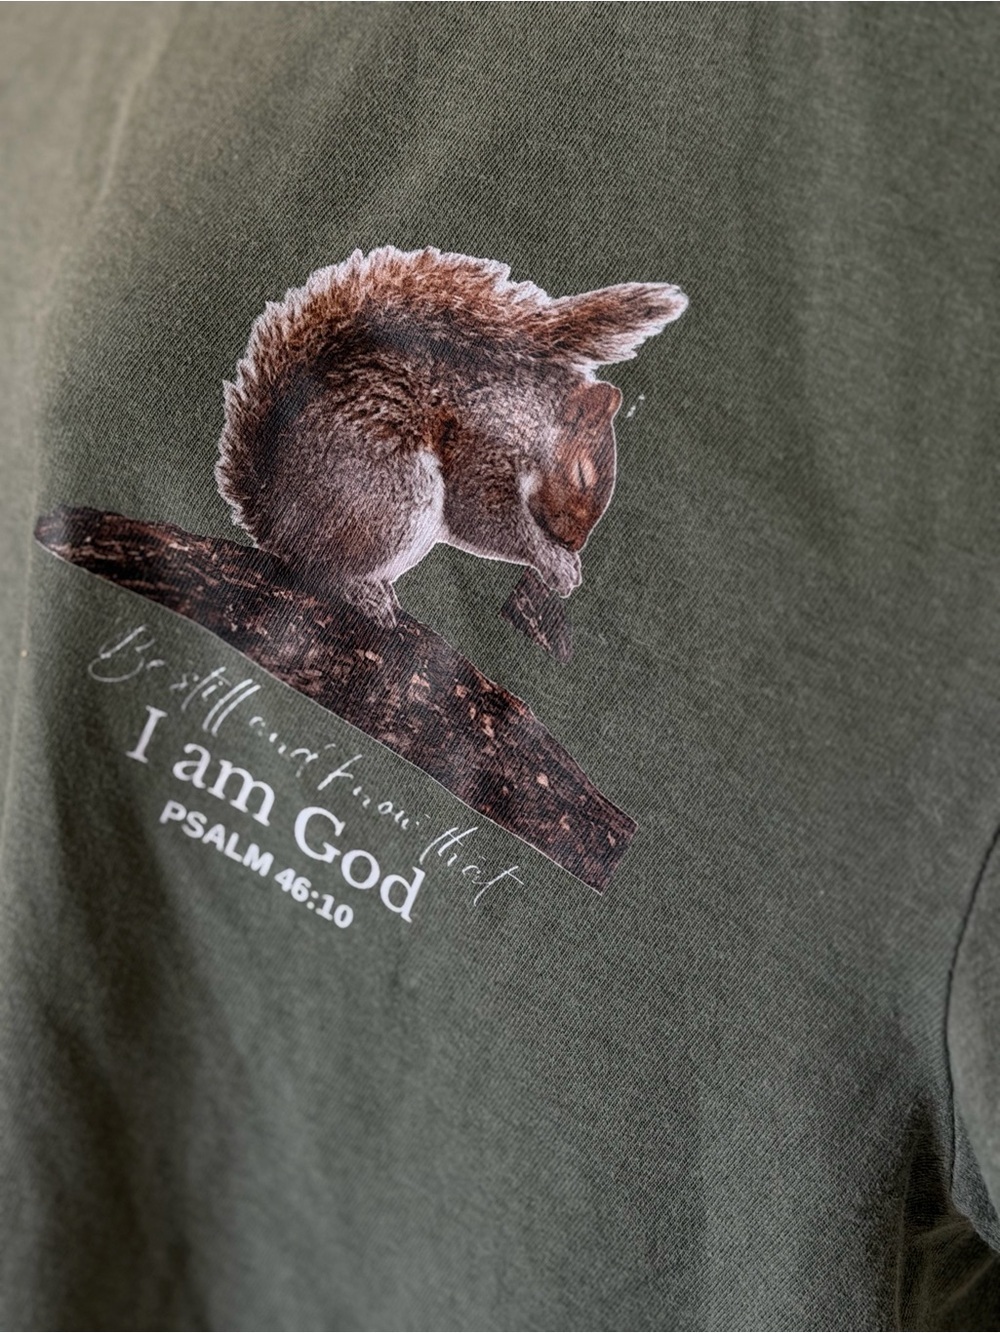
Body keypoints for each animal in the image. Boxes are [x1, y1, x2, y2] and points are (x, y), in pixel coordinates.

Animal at [216, 246, 687, 627]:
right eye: (582, 474)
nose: (574, 542)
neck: (530, 418)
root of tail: (273, 518)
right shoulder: (484, 448)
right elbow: (486, 520)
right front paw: (555, 562)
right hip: (391, 497)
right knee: (316, 569)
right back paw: (361, 592)